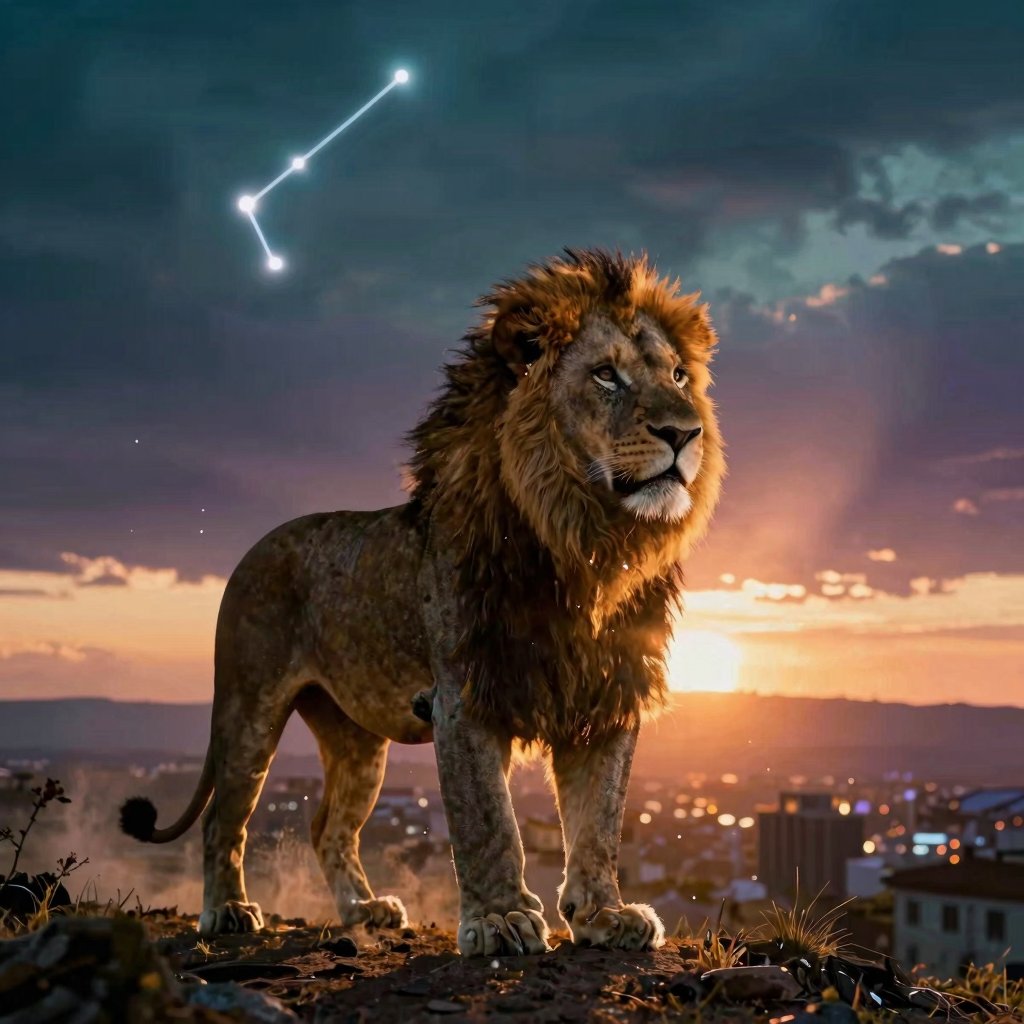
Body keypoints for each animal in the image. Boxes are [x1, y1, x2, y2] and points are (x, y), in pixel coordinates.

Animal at [119, 248, 725, 955]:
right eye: (606, 375)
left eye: (679, 375)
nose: (685, 433)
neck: (586, 546)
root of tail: (256, 546)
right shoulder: (464, 694)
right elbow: (488, 819)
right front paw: (500, 919)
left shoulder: (603, 694)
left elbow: (600, 819)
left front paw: (604, 915)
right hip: (250, 707)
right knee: (223, 817)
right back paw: (227, 912)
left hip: (355, 738)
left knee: (328, 826)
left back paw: (364, 909)